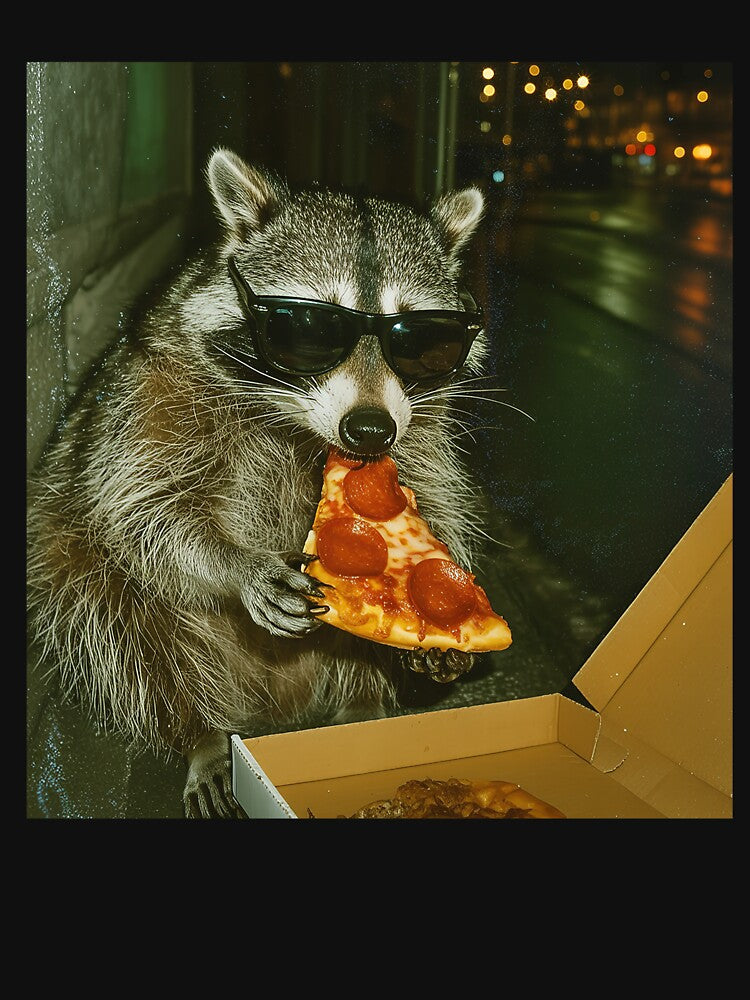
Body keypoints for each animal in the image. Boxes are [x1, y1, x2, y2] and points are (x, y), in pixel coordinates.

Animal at [27, 148, 490, 818]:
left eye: (420, 338)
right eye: (311, 327)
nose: (370, 429)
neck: (298, 426)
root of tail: (276, 700)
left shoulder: (421, 426)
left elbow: (433, 496)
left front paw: (443, 589)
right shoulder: (152, 393)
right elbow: (142, 506)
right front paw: (237, 565)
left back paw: (362, 700)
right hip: (68, 556)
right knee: (124, 628)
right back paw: (201, 731)